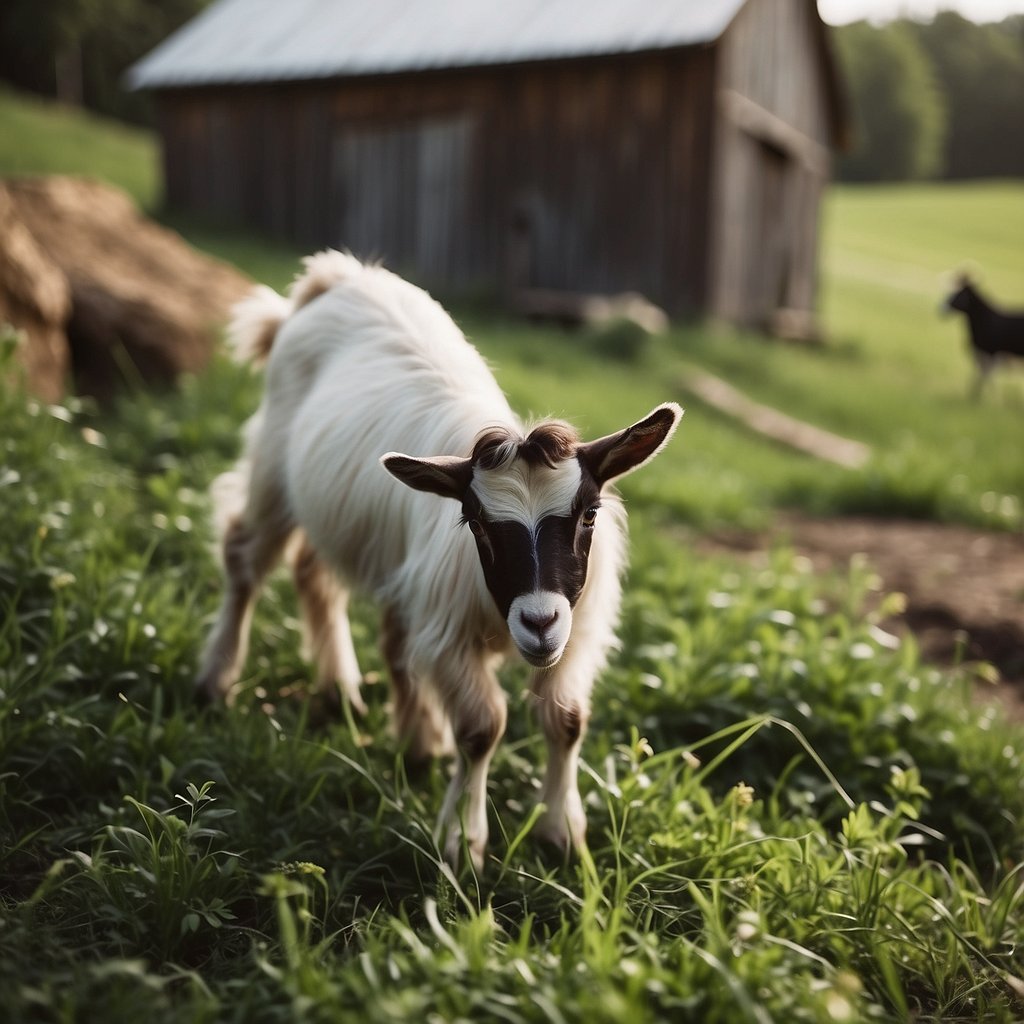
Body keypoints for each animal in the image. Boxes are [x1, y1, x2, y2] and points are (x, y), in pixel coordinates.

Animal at [196, 251, 682, 870]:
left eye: (588, 514)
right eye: (476, 522)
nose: (539, 622)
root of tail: (334, 277)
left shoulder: (576, 631)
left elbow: (566, 721)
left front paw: (563, 834)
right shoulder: (448, 633)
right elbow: (482, 727)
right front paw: (462, 841)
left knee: (319, 578)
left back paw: (356, 700)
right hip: (274, 473)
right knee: (245, 559)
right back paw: (216, 680)